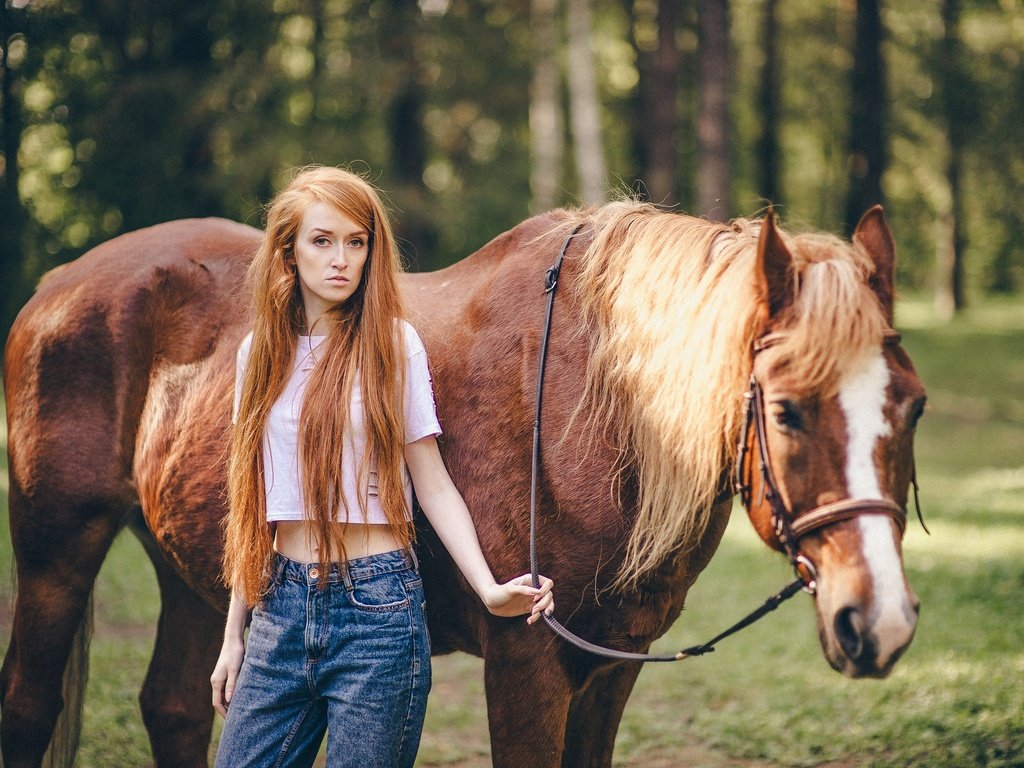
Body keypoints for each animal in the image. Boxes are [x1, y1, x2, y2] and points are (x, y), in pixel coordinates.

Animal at [0, 201, 925, 765]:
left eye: (911, 405)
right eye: (788, 412)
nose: (877, 619)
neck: (599, 408)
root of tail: (55, 287)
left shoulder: (612, 666)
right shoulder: (525, 665)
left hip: (198, 569)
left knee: (178, 708)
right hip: (57, 558)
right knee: (28, 704)